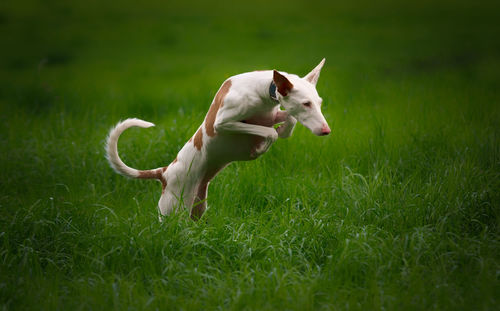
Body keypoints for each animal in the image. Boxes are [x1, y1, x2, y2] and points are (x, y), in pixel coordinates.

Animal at [107, 58, 330, 219]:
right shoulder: (222, 122)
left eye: (319, 102)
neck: (262, 89)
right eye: (306, 103)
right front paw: (259, 148)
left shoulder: (271, 116)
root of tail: (164, 172)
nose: (327, 130)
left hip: (198, 207)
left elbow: (287, 122)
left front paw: (283, 129)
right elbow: (270, 133)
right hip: (174, 210)